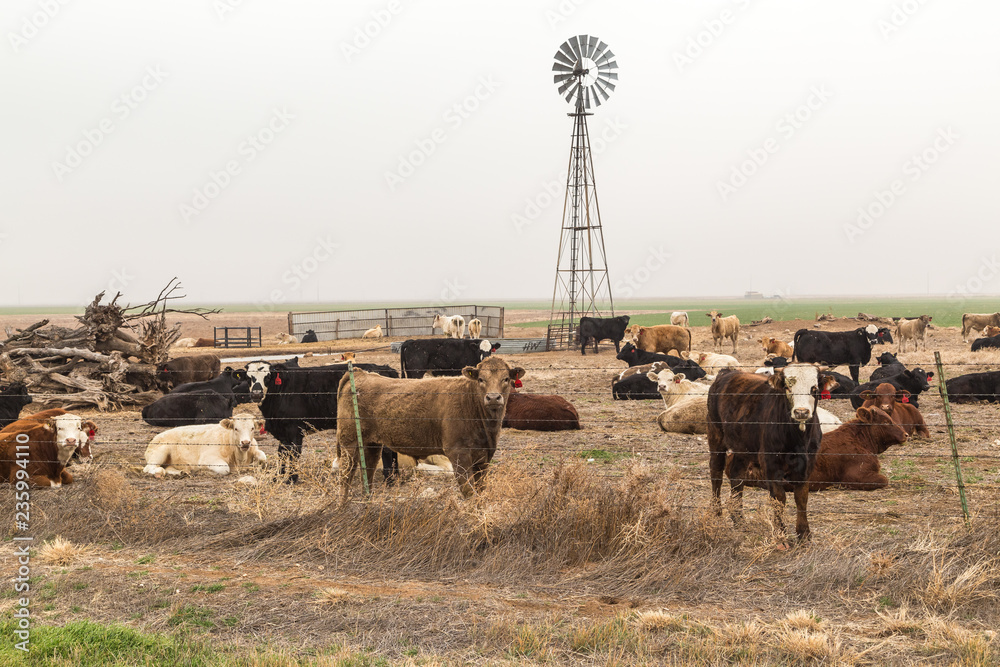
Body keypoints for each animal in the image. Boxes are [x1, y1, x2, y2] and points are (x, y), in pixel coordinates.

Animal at [244, 359, 399, 483]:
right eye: (249, 378)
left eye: (267, 377)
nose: (256, 394)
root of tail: (386, 369)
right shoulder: (282, 432)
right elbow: (282, 453)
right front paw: (278, 477)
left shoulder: (294, 430)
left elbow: (294, 454)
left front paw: (292, 479)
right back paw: (395, 475)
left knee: (386, 450)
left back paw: (389, 479)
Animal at [337, 355, 525, 499]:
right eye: (480, 379)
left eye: (506, 379)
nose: (493, 398)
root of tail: (361, 374)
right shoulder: (458, 454)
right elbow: (469, 492)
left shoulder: (483, 458)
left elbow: (480, 491)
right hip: (349, 442)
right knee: (345, 476)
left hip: (372, 444)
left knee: (367, 472)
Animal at [708, 364, 836, 542]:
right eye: (788, 387)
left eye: (814, 388)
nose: (801, 412)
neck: (797, 438)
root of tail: (727, 372)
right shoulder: (770, 464)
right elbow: (779, 498)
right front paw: (781, 533)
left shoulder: (807, 464)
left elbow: (801, 497)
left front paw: (804, 534)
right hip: (716, 436)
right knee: (716, 473)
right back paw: (716, 513)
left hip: (743, 446)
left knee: (737, 475)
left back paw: (739, 519)